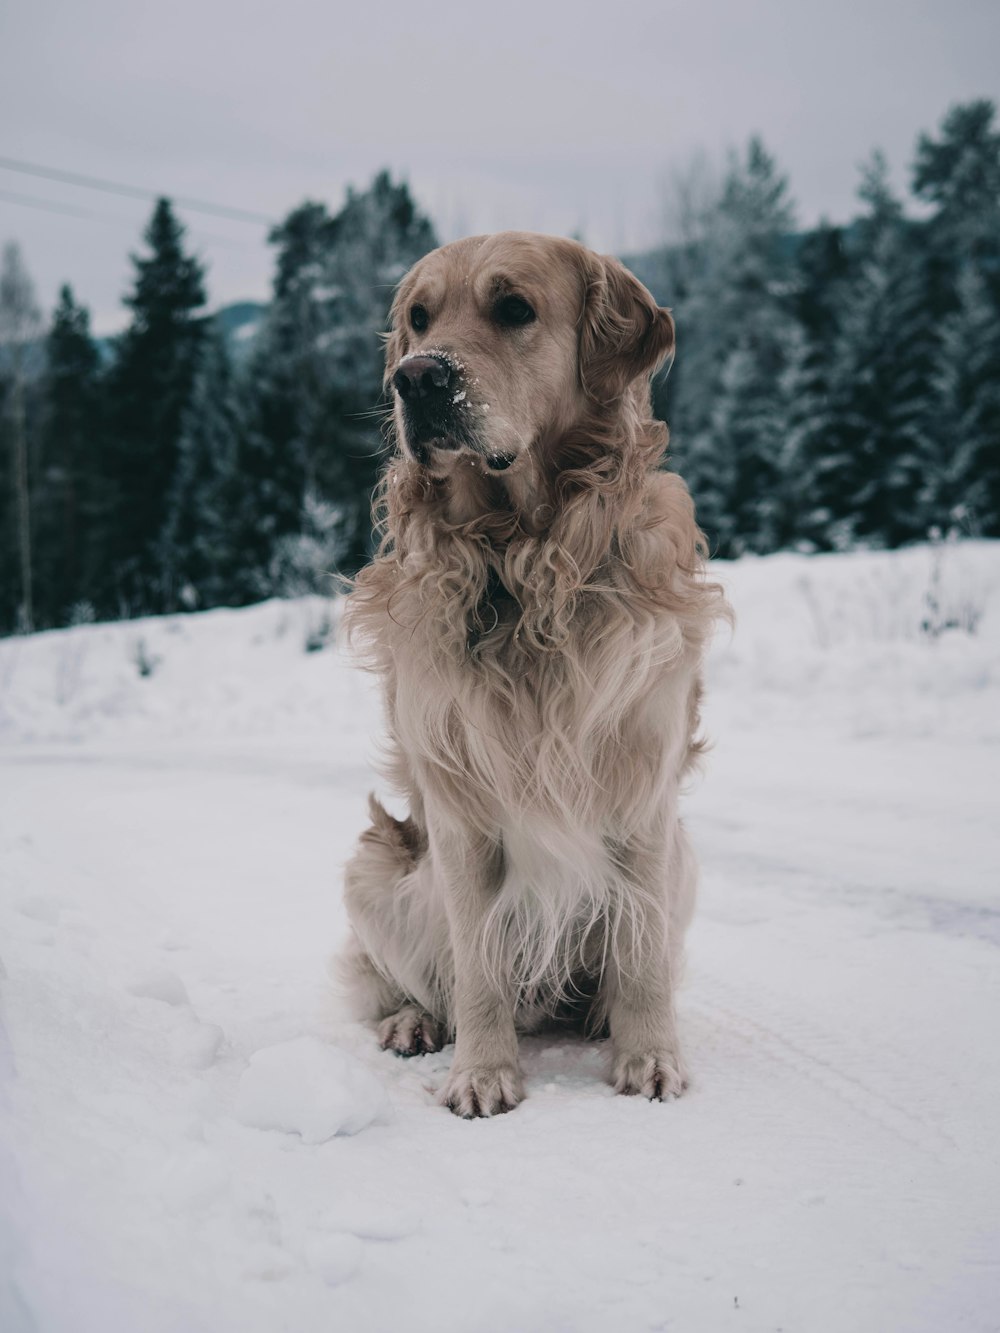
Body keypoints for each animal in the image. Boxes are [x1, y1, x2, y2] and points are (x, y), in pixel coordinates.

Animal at [341, 229, 725, 1114]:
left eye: (513, 308)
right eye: (418, 319)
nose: (417, 378)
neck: (522, 557)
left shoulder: (641, 786)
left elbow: (643, 948)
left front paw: (649, 1055)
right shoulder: (460, 807)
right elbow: (477, 963)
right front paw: (483, 1072)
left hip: (683, 857)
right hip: (375, 865)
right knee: (410, 978)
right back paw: (416, 1022)